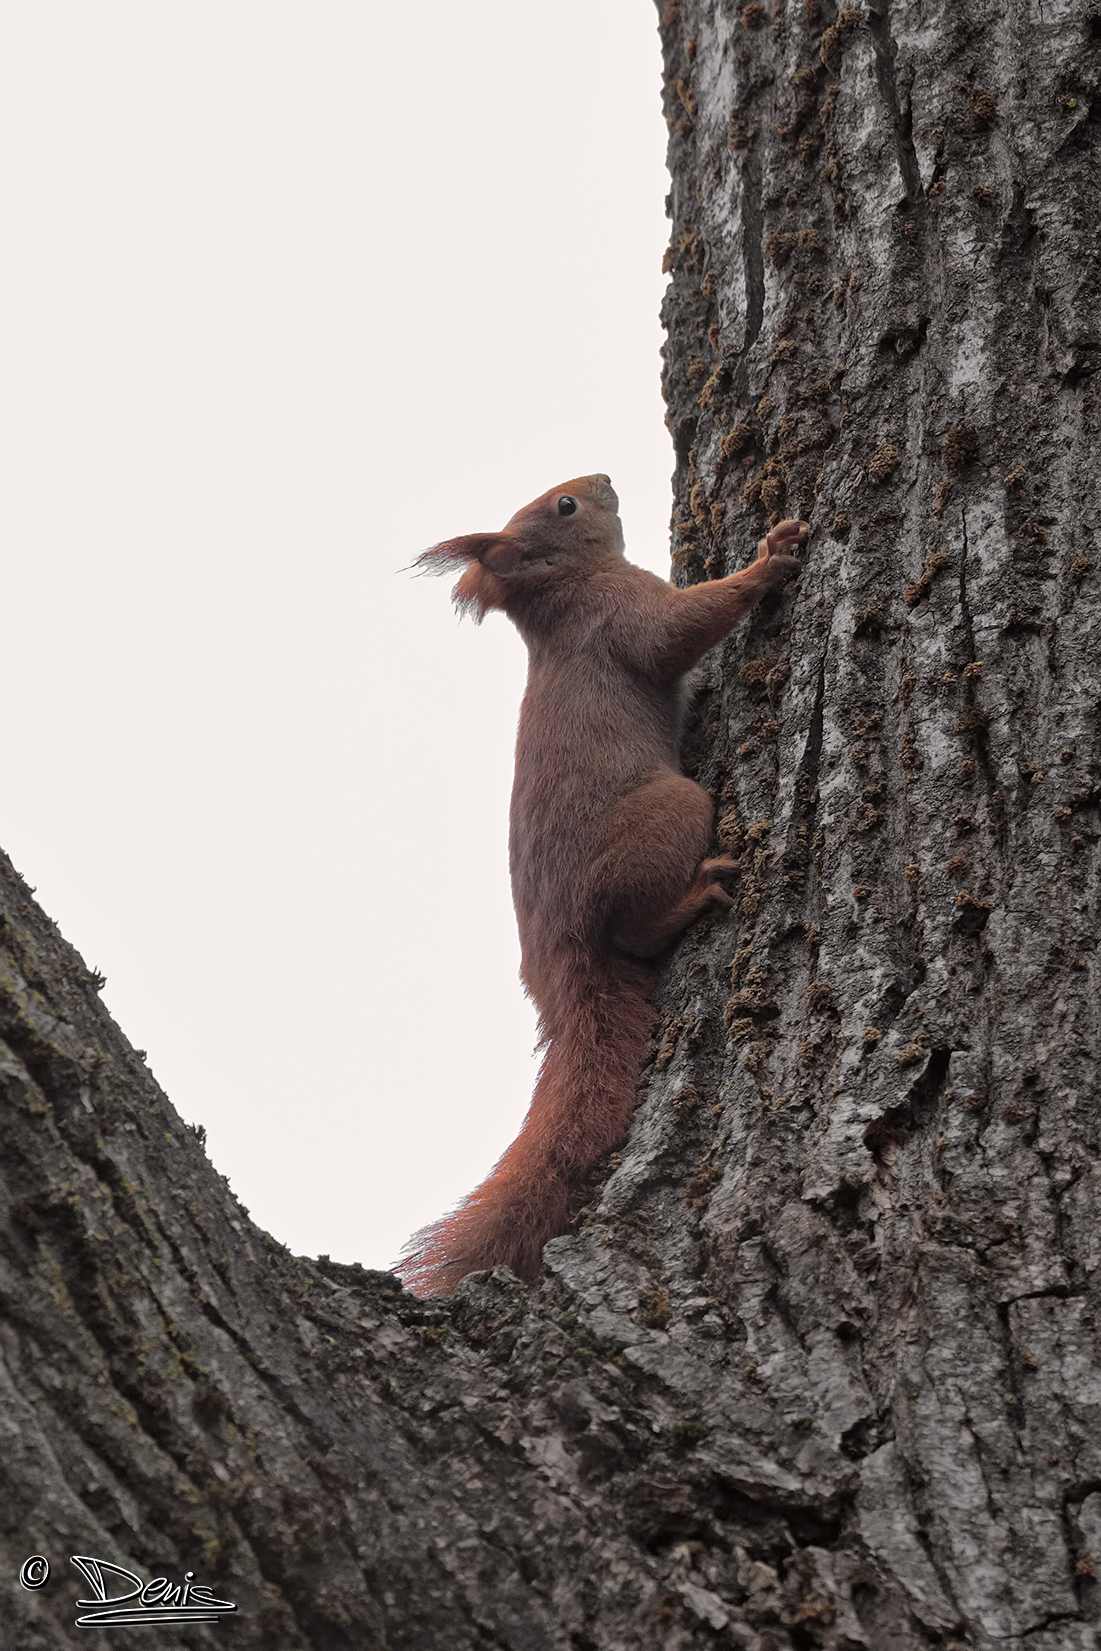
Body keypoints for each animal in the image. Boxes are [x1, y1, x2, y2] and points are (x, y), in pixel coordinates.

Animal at [398, 474, 806, 1296]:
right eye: (564, 508)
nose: (602, 480)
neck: (563, 598)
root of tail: (563, 959)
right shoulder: (620, 614)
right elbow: (679, 629)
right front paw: (767, 560)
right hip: (673, 813)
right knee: (636, 928)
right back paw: (696, 895)